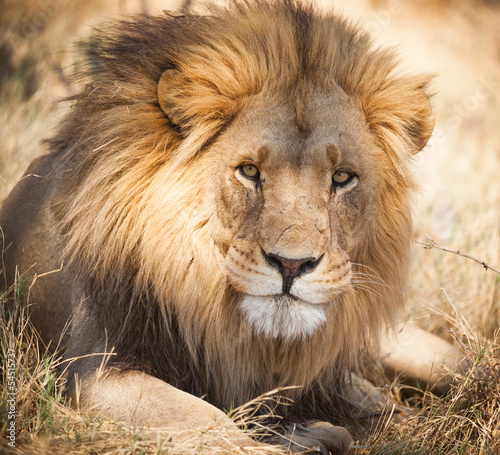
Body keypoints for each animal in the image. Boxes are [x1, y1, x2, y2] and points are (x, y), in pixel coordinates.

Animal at [0, 0, 448, 452]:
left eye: (342, 177)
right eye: (249, 171)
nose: (292, 265)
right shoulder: (91, 371)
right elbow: (204, 418)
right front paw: (298, 436)